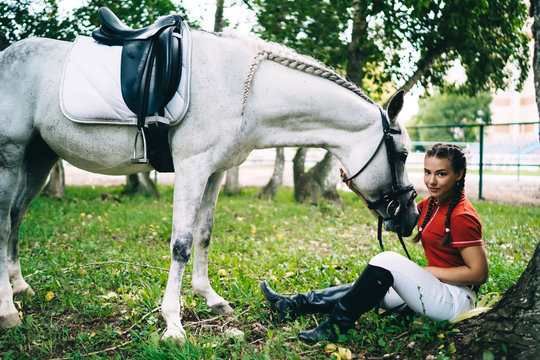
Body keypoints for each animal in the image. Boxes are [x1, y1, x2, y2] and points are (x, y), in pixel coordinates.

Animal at [0, 28, 418, 340]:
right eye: (402, 155)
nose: (411, 218)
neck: (245, 94)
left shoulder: (214, 173)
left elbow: (203, 235)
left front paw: (210, 298)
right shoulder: (192, 169)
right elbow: (181, 244)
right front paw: (172, 322)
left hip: (38, 158)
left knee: (16, 217)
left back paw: (21, 287)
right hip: (10, 157)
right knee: (5, 222)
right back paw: (8, 310)